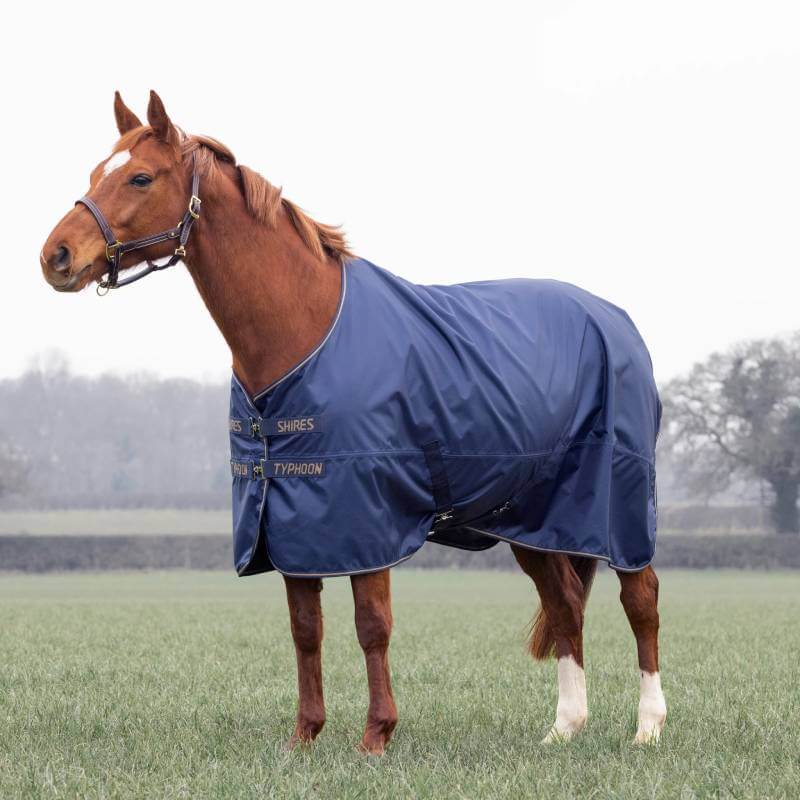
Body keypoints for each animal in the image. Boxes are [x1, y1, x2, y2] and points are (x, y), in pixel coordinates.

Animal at [40, 91, 667, 754]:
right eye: (95, 173)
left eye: (140, 177)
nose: (55, 256)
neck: (305, 329)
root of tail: (618, 321)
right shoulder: (289, 521)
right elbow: (305, 629)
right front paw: (305, 737)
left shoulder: (367, 516)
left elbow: (372, 625)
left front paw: (376, 736)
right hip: (532, 519)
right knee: (567, 603)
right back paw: (564, 729)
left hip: (618, 506)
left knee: (641, 598)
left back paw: (647, 727)